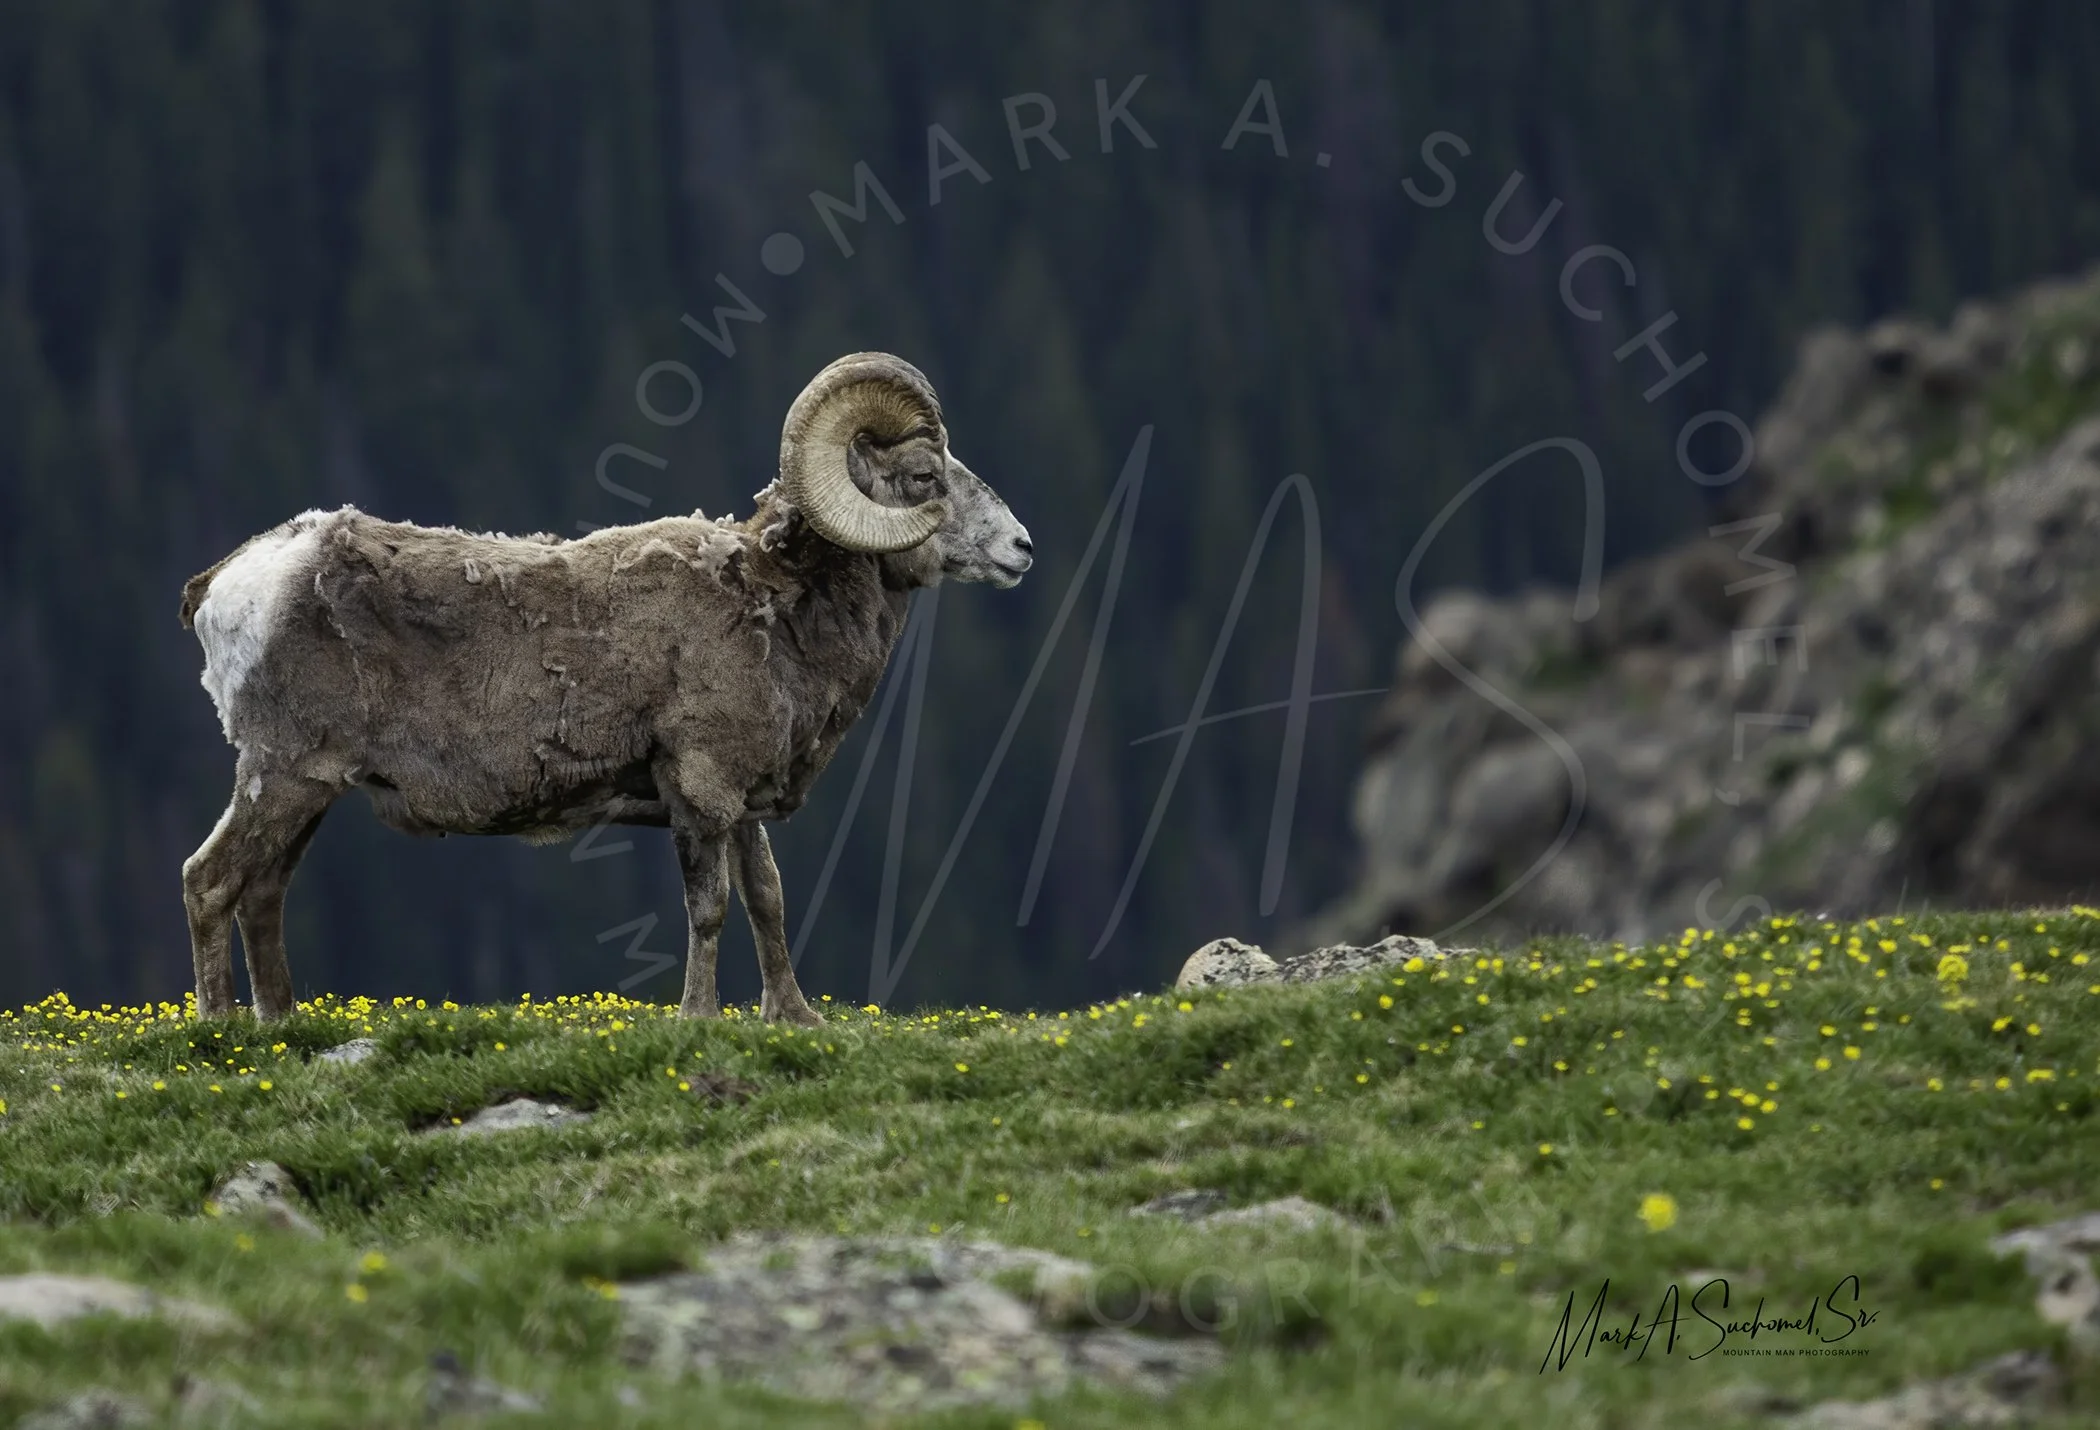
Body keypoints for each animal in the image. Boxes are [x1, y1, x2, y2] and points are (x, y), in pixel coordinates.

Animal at [177, 352, 1033, 1025]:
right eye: (924, 477)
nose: (1022, 548)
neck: (777, 611)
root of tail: (231, 582)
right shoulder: (701, 791)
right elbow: (711, 909)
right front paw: (698, 1019)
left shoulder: (742, 805)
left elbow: (768, 899)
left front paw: (793, 1017)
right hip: (283, 775)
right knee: (210, 882)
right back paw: (221, 1030)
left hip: (311, 792)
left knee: (262, 893)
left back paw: (282, 1025)